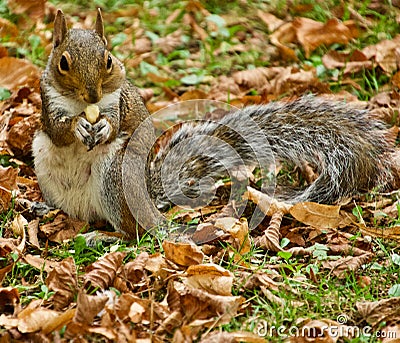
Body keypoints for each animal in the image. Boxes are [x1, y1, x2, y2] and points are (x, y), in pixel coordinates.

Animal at [32, 9, 394, 238]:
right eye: (63, 63)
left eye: (108, 60)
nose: (93, 94)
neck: (84, 106)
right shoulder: (48, 100)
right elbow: (58, 130)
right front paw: (77, 127)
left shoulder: (118, 101)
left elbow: (118, 119)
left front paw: (105, 127)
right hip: (43, 161)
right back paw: (44, 209)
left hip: (113, 176)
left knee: (132, 233)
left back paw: (106, 236)